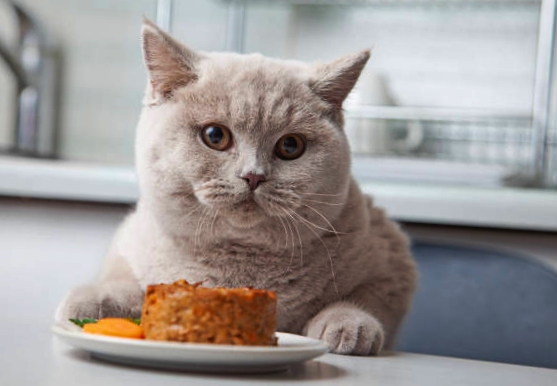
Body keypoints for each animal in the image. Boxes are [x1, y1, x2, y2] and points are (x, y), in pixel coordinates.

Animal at [56, 18, 414, 356]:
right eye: (215, 136)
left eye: (290, 146)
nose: (253, 175)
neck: (239, 263)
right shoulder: (127, 245)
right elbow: (125, 280)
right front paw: (94, 301)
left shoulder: (393, 262)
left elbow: (367, 297)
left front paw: (349, 326)